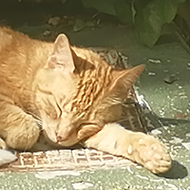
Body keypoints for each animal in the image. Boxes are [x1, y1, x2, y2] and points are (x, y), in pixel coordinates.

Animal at [0, 26, 171, 174]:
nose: (60, 137)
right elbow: (28, 128)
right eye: (58, 107)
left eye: (85, 123)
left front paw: (149, 150)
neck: (29, 74)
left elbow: (115, 135)